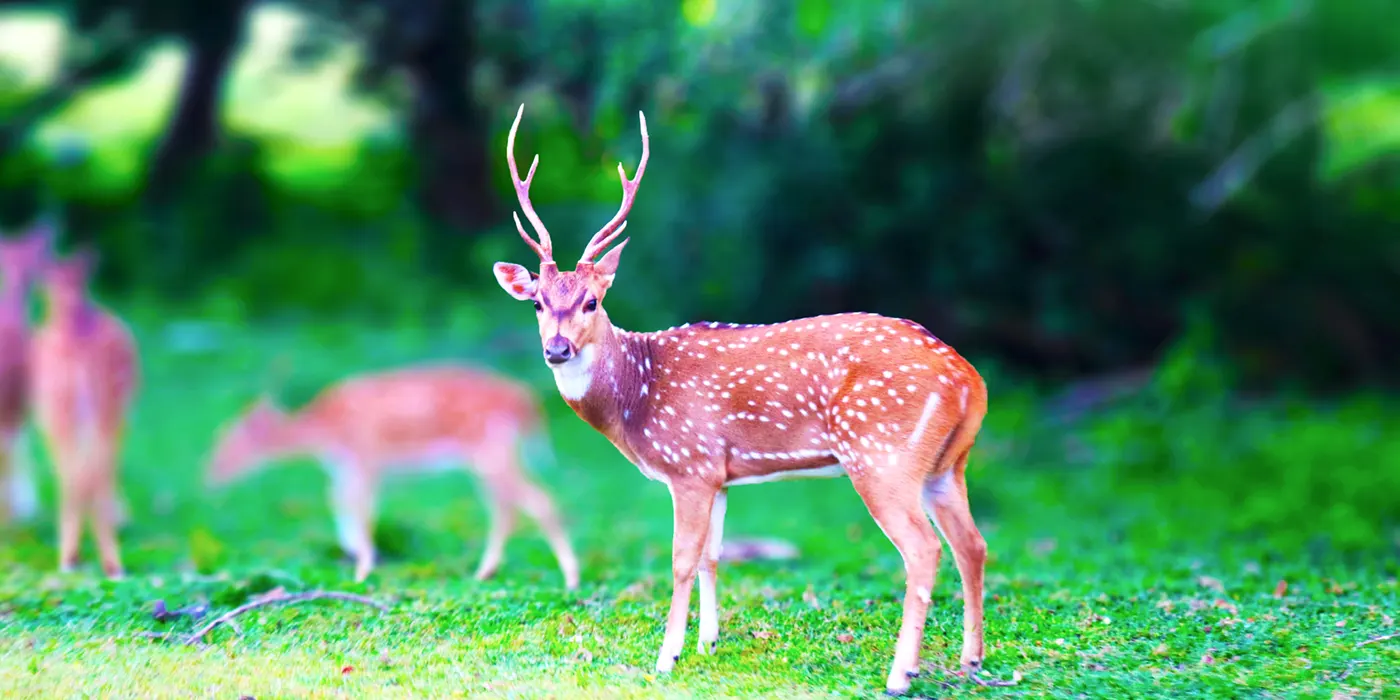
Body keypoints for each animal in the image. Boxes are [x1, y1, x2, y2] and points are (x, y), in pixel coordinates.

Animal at [31, 245, 139, 574]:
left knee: (79, 476)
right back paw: (102, 561)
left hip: (65, 410)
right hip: (94, 409)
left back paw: (78, 559)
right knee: (90, 473)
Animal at [204, 364, 582, 588]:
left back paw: (570, 579)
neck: (325, 432)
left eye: (231, 440)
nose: (208, 475)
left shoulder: (366, 457)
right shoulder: (350, 465)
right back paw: (487, 571)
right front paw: (357, 557)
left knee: (537, 500)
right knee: (507, 506)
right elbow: (340, 499)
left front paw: (363, 568)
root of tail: (528, 405)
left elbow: (359, 505)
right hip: (490, 457)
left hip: (490, 451)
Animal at [492, 105, 996, 694]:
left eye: (592, 301)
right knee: (972, 543)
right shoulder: (720, 472)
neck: (636, 398)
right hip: (947, 463)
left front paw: (667, 657)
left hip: (881, 454)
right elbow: (713, 556)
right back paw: (971, 660)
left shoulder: (688, 464)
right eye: (537, 303)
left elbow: (681, 560)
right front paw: (707, 644)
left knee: (923, 549)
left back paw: (901, 673)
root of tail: (969, 378)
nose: (557, 348)